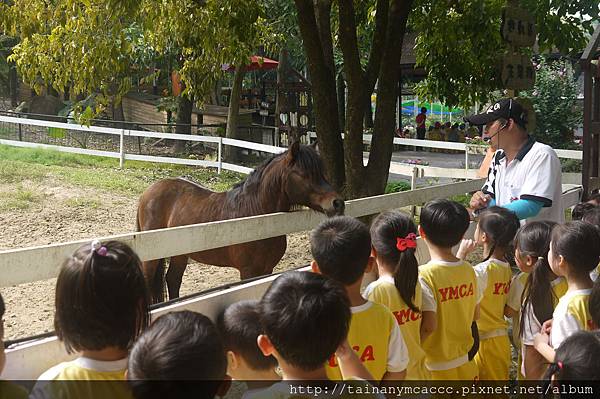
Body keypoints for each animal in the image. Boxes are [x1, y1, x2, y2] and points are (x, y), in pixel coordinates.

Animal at [136, 142, 342, 302]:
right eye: (303, 174)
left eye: (321, 172)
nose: (337, 202)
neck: (256, 215)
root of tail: (149, 191)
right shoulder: (248, 272)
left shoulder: (267, 269)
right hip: (152, 258)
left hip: (180, 254)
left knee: (173, 280)